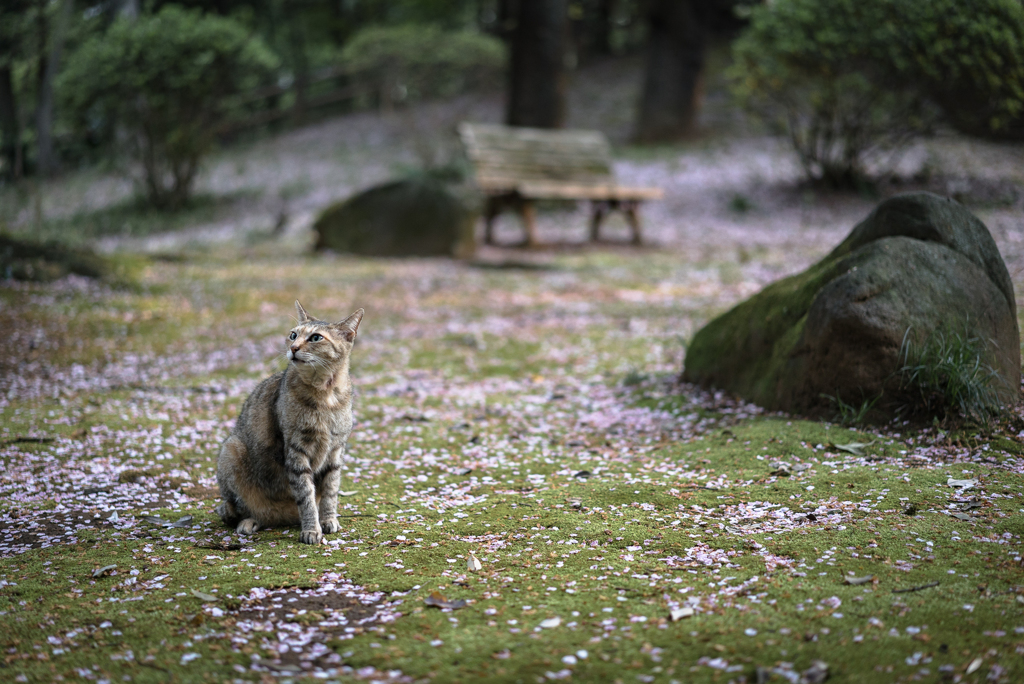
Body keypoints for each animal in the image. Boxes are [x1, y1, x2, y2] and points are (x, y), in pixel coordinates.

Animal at [214, 301, 362, 544]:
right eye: (293, 335)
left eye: (315, 338)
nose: (293, 348)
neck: (325, 394)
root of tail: (282, 518)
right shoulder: (296, 449)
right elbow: (306, 496)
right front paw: (311, 529)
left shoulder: (335, 451)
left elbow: (330, 492)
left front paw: (328, 519)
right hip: (232, 449)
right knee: (236, 508)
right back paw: (249, 521)